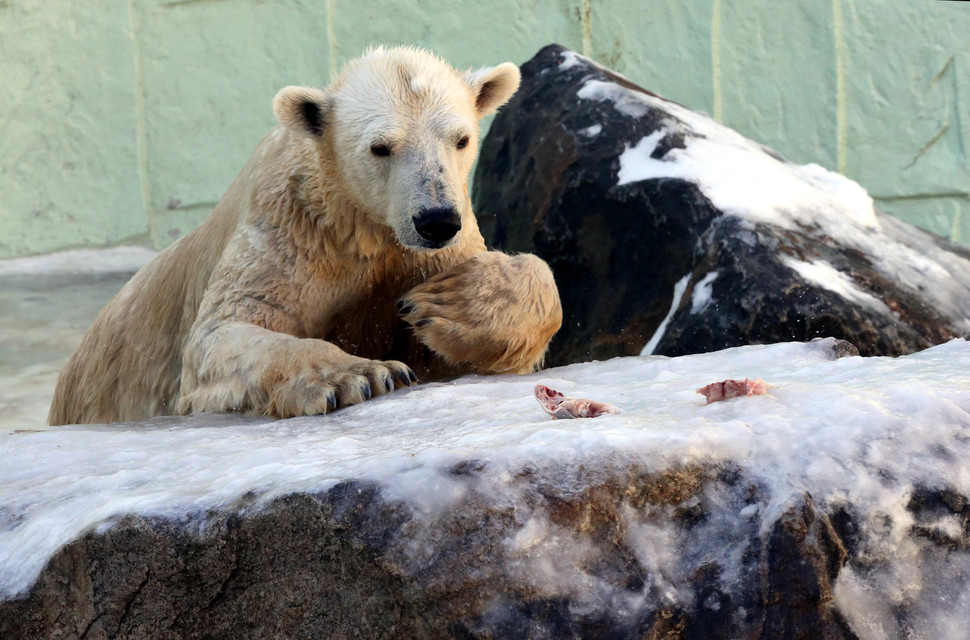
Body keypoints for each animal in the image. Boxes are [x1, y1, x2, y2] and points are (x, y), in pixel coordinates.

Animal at [49, 46, 564, 424]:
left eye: (461, 139)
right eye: (380, 148)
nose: (436, 219)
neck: (363, 223)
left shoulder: (426, 253)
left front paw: (445, 304)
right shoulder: (288, 230)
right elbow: (225, 333)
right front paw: (362, 374)